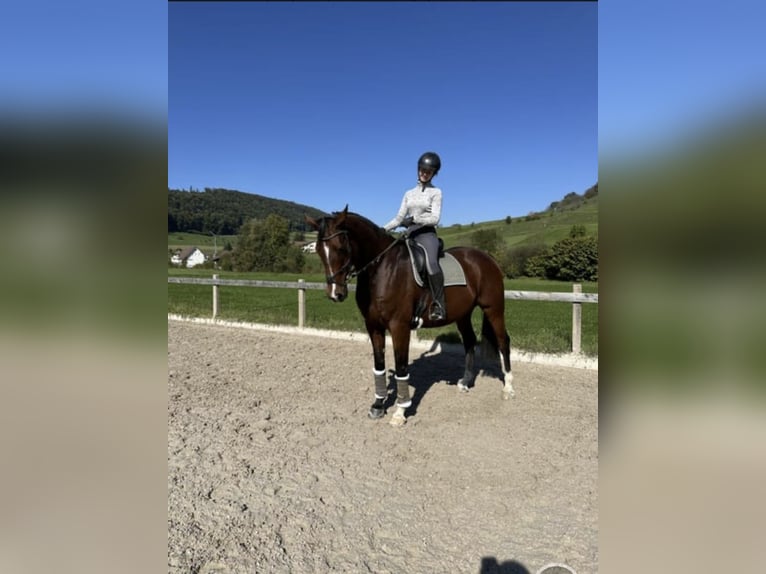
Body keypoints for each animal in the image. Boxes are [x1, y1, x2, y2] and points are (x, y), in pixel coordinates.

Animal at [305, 206, 514, 426]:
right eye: (318, 250)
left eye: (341, 248)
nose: (335, 294)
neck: (381, 270)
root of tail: (486, 258)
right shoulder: (373, 326)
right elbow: (379, 365)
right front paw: (378, 405)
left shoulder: (399, 327)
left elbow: (401, 367)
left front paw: (400, 412)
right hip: (463, 314)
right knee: (469, 341)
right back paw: (465, 382)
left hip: (493, 309)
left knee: (503, 341)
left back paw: (508, 388)